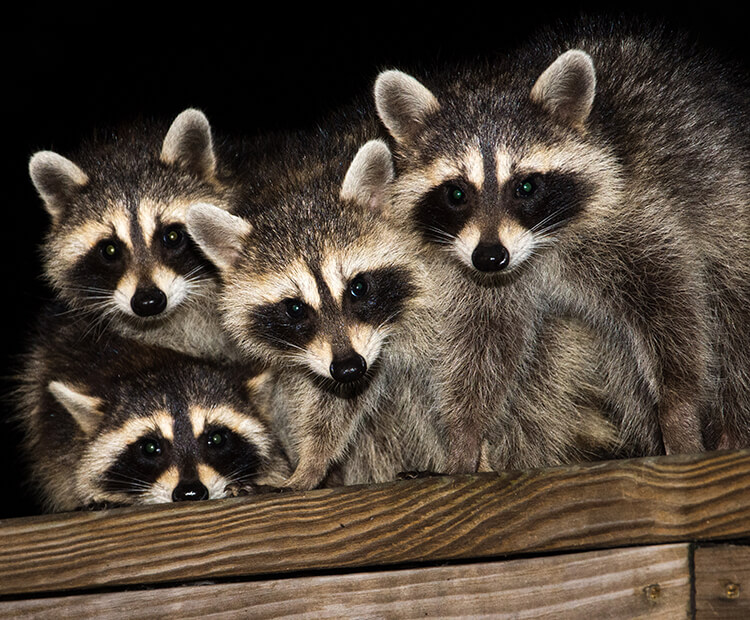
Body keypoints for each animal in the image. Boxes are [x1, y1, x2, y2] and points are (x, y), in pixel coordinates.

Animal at [188, 120, 450, 490]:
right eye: (295, 308)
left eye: (358, 287)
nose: (349, 367)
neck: (300, 182)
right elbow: (331, 403)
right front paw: (310, 465)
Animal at [374, 17, 748, 472]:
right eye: (457, 193)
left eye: (526, 186)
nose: (491, 257)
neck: (539, 247)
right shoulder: (484, 275)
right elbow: (485, 345)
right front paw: (465, 436)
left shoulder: (633, 213)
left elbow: (670, 303)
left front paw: (678, 406)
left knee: (733, 319)